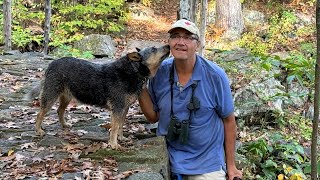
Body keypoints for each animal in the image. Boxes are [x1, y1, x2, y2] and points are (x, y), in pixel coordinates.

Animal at [25, 45, 170, 149]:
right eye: (153, 49)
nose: (168, 45)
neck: (134, 71)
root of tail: (51, 65)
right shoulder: (118, 108)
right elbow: (115, 127)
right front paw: (113, 144)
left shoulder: (124, 108)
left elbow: (120, 125)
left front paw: (121, 138)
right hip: (51, 96)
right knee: (40, 114)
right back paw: (38, 131)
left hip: (66, 96)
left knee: (59, 110)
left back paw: (64, 125)